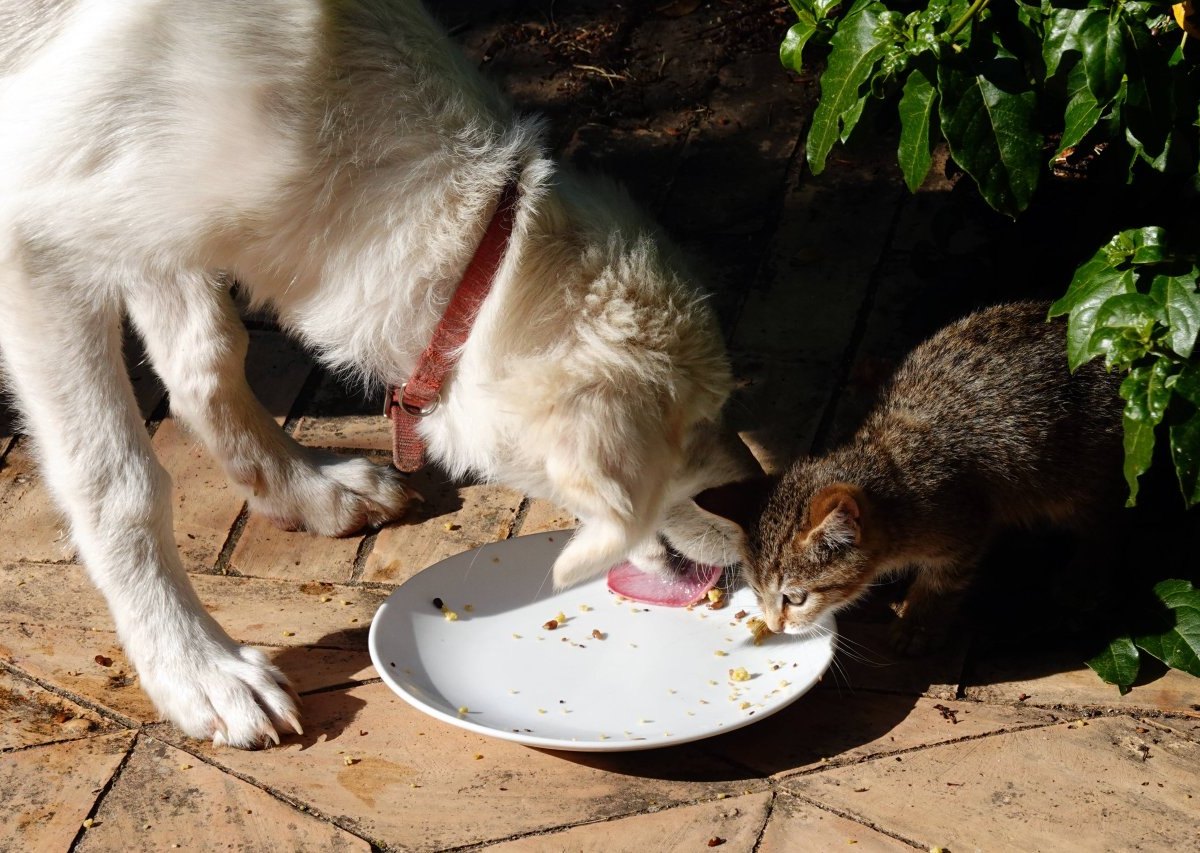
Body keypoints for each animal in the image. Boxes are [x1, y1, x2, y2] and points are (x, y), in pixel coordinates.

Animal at [0, 0, 753, 748]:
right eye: (695, 427)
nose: (759, 506)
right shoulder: (42, 247)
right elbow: (121, 483)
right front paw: (193, 666)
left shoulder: (155, 225)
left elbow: (209, 353)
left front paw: (297, 485)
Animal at [700, 302, 1128, 652]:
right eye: (757, 592)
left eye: (796, 597)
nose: (775, 625)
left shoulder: (965, 531)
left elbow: (941, 583)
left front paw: (917, 624)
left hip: (1077, 480)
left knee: (1109, 523)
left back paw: (1082, 578)